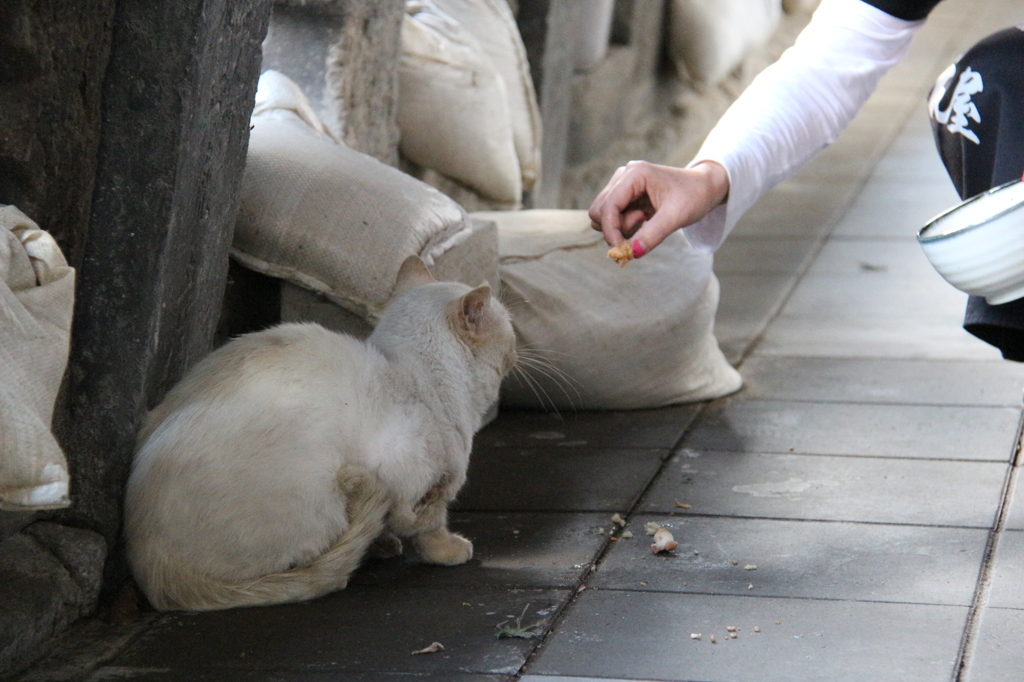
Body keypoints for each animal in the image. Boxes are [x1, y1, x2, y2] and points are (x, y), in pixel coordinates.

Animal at [123, 256, 516, 610]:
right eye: (510, 328)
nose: (517, 348)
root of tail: (152, 570)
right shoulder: (428, 483)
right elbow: (429, 527)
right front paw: (449, 550)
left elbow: (393, 524)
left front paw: (383, 543)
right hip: (318, 496)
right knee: (310, 572)